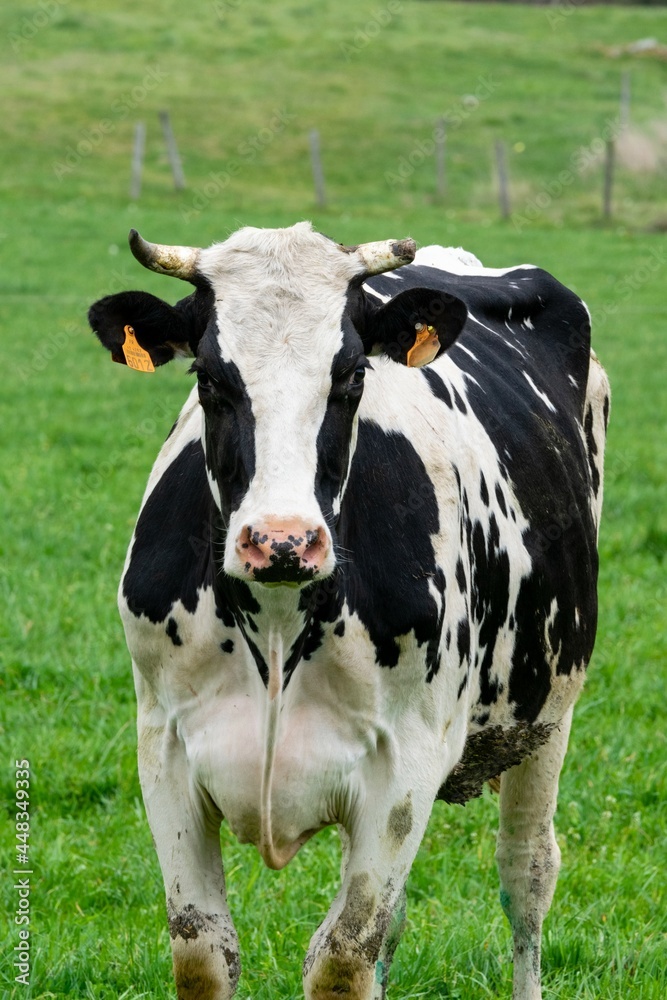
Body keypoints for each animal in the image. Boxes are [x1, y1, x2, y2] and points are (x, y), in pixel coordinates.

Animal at [88, 221, 612, 1000]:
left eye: (351, 377)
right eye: (208, 379)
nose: (282, 540)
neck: (276, 624)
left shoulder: (404, 767)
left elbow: (342, 958)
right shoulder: (165, 747)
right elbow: (203, 956)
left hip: (548, 712)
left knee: (526, 875)